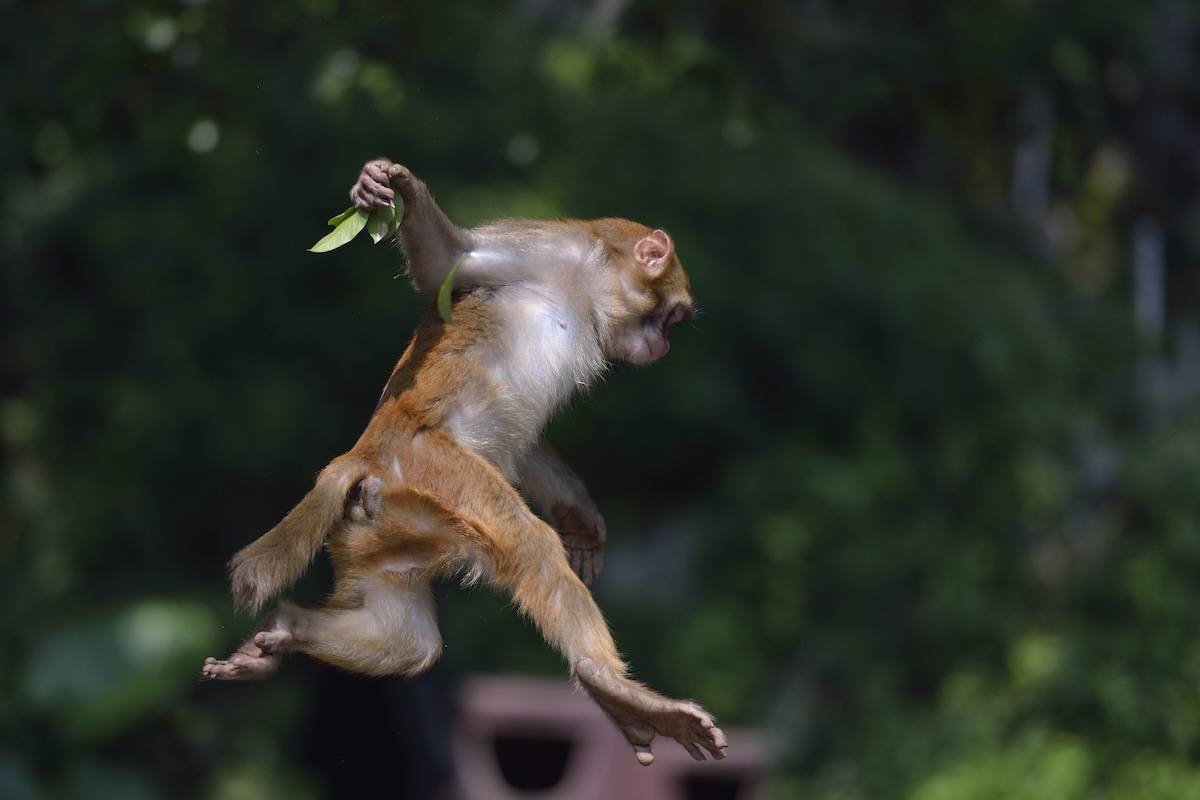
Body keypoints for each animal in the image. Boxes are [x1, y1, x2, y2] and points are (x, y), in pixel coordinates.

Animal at [202, 160, 725, 766]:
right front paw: (385, 188)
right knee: (526, 544)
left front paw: (579, 514)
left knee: (406, 640)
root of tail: (362, 454)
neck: (586, 287)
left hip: (382, 527)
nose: (662, 346)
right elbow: (451, 262)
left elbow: (527, 442)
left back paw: (288, 627)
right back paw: (606, 681)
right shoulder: (549, 246)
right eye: (671, 319)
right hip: (428, 463)